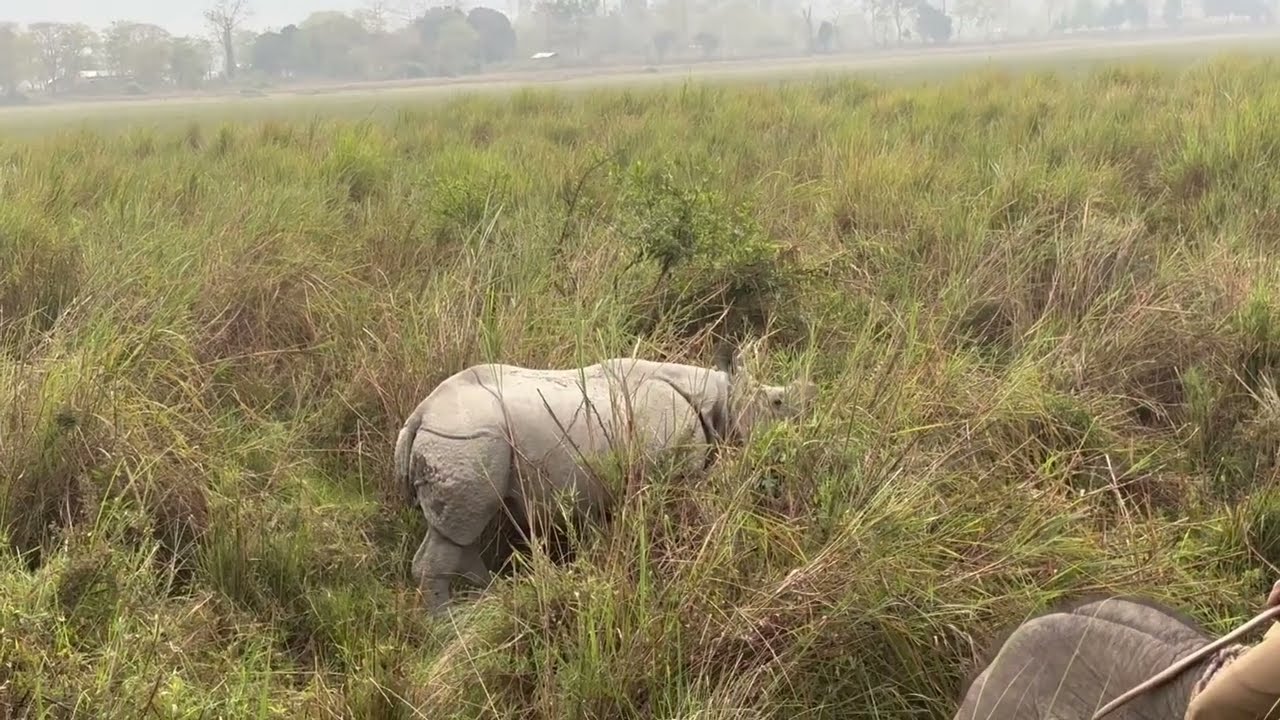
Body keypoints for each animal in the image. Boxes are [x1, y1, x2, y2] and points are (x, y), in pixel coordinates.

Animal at [393, 342, 818, 615]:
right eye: (778, 402)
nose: (804, 422)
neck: (721, 397)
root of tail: (419, 414)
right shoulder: (672, 474)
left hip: (466, 440)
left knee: (460, 529)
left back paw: (489, 596)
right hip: (466, 439)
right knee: (461, 527)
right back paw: (450, 627)